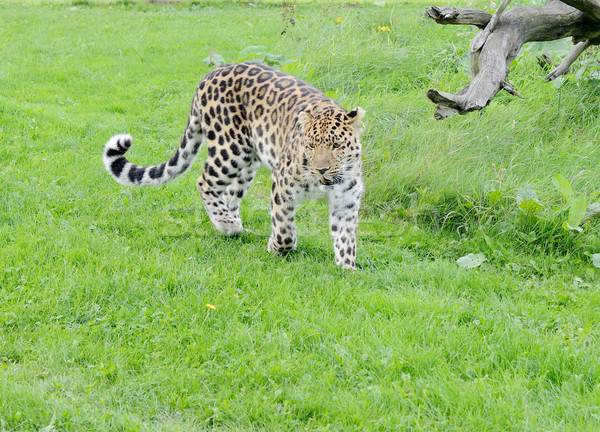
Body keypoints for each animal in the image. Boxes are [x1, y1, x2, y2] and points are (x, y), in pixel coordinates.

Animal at [103, 62, 366, 268]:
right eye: (311, 145)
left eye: (336, 145)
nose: (321, 169)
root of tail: (210, 74)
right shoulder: (282, 184)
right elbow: (284, 229)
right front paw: (275, 246)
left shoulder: (346, 200)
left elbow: (345, 238)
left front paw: (347, 270)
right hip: (229, 149)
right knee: (204, 182)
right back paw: (227, 224)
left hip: (248, 162)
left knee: (229, 194)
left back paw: (233, 228)